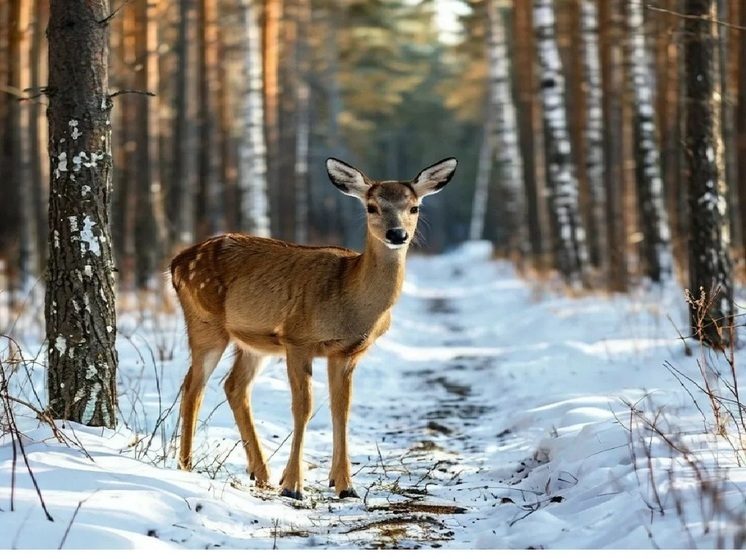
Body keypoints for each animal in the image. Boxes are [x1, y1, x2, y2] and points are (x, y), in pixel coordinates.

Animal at [171, 155, 456, 500]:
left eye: (414, 207)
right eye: (372, 206)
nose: (397, 234)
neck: (348, 300)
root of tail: (175, 263)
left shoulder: (347, 353)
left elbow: (341, 410)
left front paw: (345, 485)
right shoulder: (298, 339)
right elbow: (303, 407)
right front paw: (294, 485)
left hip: (254, 341)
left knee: (234, 386)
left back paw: (261, 474)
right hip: (205, 321)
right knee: (193, 387)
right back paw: (187, 467)